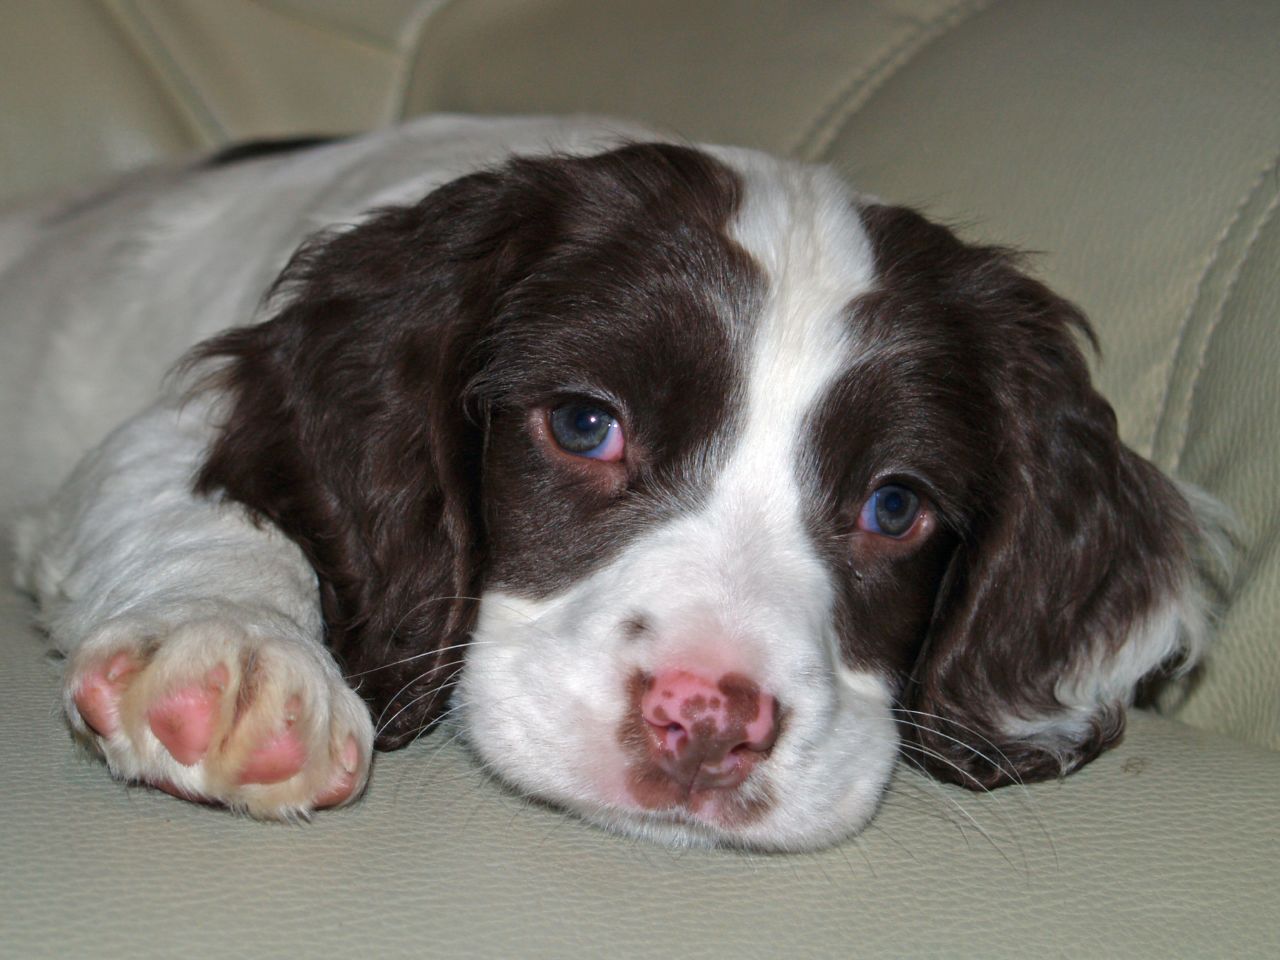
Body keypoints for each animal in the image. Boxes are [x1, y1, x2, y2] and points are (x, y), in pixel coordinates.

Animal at [7, 116, 1218, 855]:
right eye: (586, 426)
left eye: (894, 506)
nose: (707, 728)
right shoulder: (172, 422)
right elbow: (203, 505)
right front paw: (234, 654)